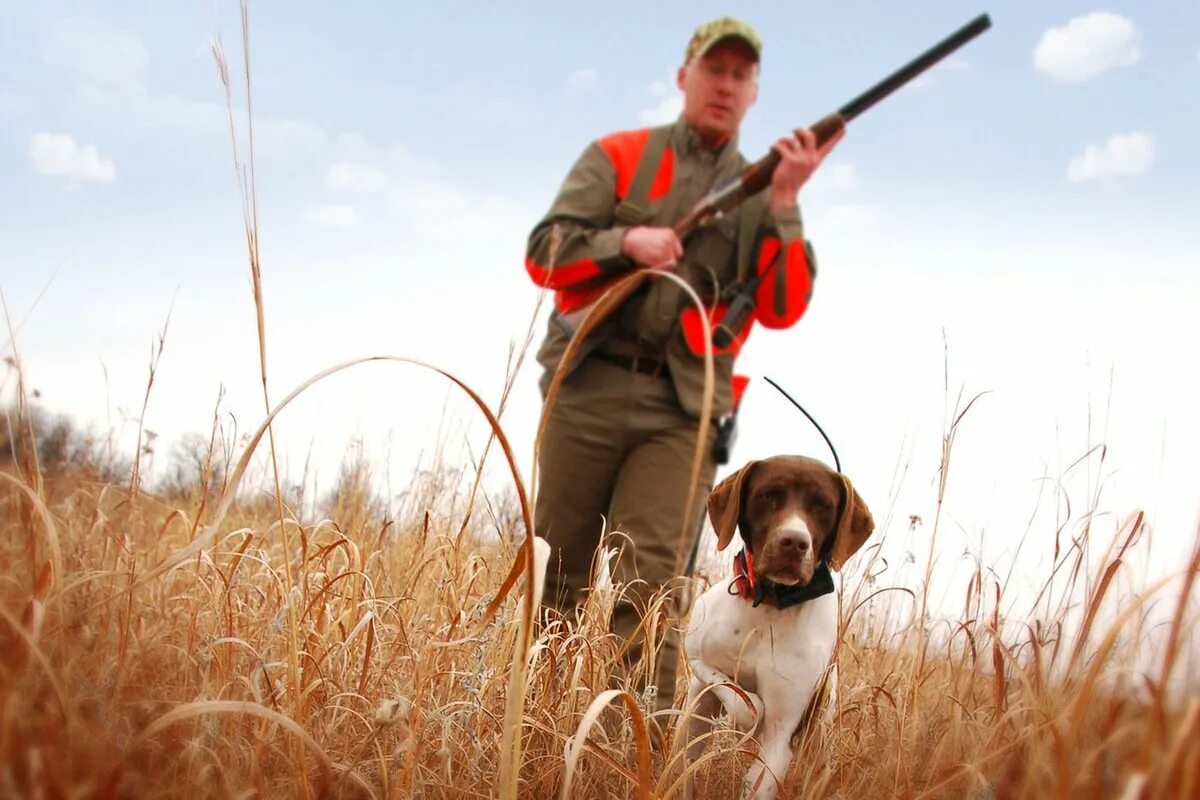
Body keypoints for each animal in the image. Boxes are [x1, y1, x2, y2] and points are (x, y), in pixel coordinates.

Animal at [681, 455, 878, 800]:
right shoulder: (697, 659)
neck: (768, 604)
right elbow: (733, 690)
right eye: (767, 495)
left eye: (823, 505)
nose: (794, 542)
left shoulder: (779, 740)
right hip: (694, 717)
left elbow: (757, 716)